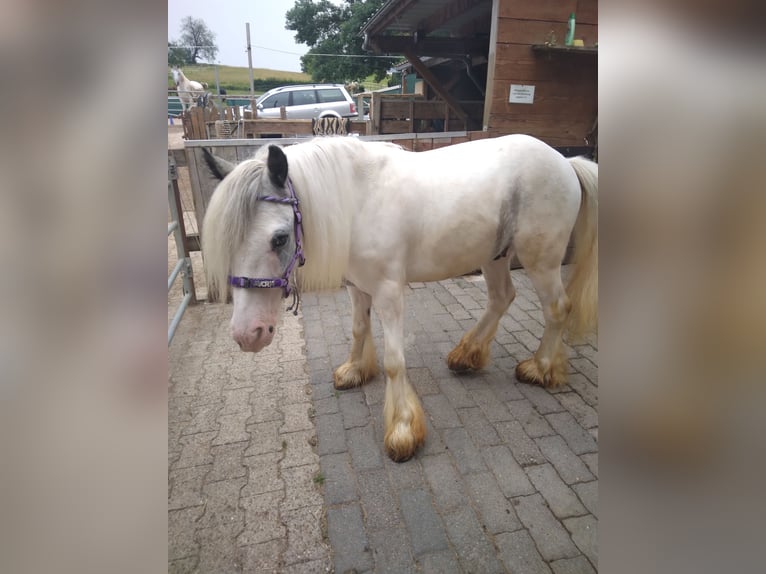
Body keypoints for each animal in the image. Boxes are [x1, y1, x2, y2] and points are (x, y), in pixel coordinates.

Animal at [200, 137, 600, 466]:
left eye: (280, 238)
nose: (248, 334)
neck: (358, 201)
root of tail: (564, 161)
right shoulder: (358, 287)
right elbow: (358, 328)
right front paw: (355, 370)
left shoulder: (389, 292)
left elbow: (395, 362)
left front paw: (403, 430)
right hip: (495, 256)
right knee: (502, 298)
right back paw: (467, 355)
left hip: (541, 261)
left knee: (556, 308)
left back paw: (540, 368)